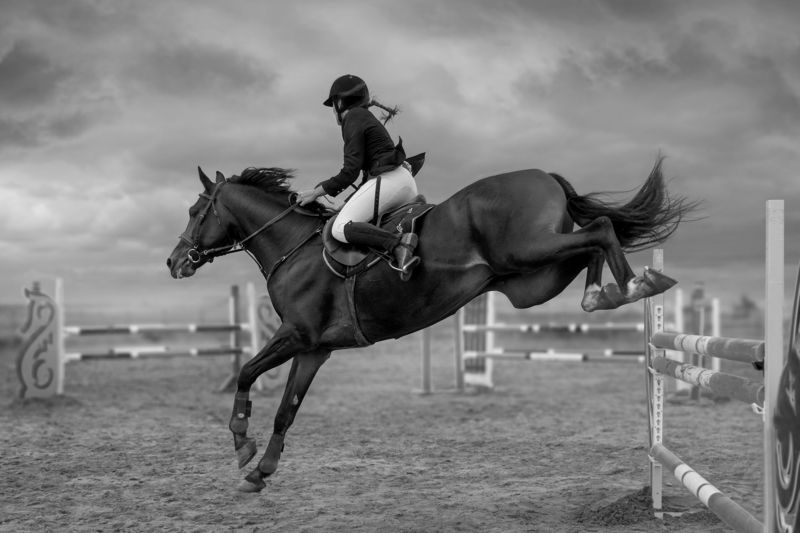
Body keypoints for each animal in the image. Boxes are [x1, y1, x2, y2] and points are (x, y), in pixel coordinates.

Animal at [166, 158, 695, 492]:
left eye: (195, 211)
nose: (174, 262)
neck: (292, 248)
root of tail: (542, 175)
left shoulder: (296, 335)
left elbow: (246, 372)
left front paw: (241, 441)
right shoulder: (314, 349)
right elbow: (286, 410)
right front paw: (261, 470)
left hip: (528, 254)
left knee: (601, 231)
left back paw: (636, 284)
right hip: (531, 280)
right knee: (591, 242)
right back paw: (603, 294)